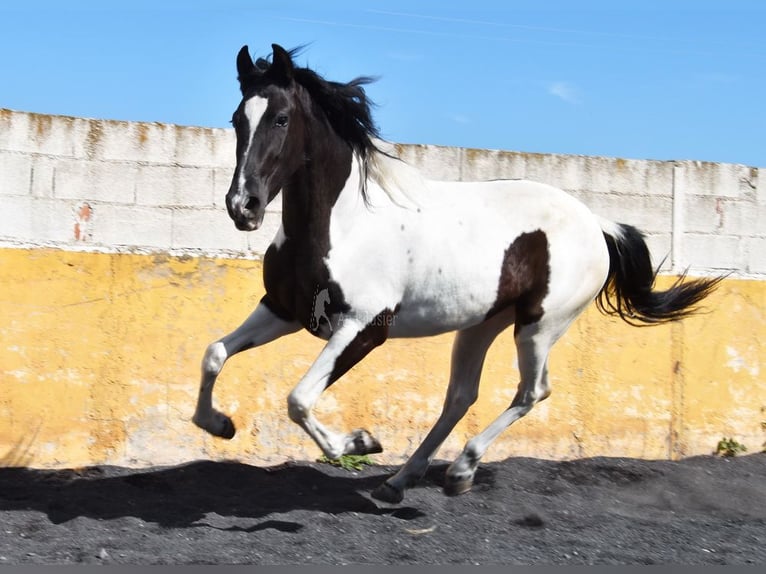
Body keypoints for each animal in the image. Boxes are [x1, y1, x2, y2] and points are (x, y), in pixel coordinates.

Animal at [192, 44, 722, 504]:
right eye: (238, 119)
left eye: (281, 118)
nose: (243, 207)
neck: (342, 224)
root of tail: (597, 223)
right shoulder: (283, 310)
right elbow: (215, 353)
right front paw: (219, 424)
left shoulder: (364, 328)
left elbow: (299, 399)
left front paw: (359, 443)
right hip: (482, 325)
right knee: (460, 397)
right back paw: (400, 482)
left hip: (539, 326)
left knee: (532, 391)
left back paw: (461, 471)